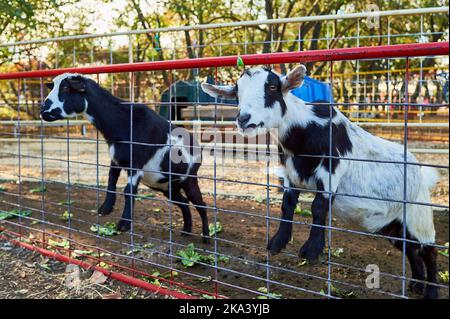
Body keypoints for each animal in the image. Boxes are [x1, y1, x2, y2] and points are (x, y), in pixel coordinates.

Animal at [40, 73, 209, 242]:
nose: (43, 110)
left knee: (201, 204)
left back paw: (206, 237)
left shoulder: (136, 164)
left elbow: (128, 191)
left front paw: (123, 224)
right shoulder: (116, 159)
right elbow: (111, 181)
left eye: (66, 88)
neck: (123, 123)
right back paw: (186, 231)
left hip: (190, 179)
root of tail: (198, 148)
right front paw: (105, 209)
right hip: (167, 186)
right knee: (184, 203)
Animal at [203, 65, 440, 300]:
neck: (304, 132)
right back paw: (416, 284)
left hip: (419, 214)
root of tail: (422, 173)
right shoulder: (290, 174)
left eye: (272, 87)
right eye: (237, 92)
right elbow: (287, 205)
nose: (244, 119)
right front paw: (279, 241)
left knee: (429, 250)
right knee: (411, 249)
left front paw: (312, 250)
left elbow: (318, 206)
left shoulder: (331, 170)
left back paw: (431, 290)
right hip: (392, 225)